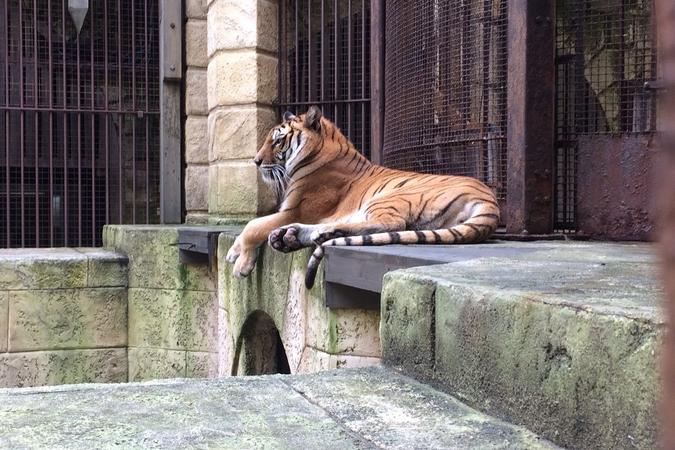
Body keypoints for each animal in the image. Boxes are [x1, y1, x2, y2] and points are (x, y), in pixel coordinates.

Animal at [227, 106, 502, 288]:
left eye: (278, 141)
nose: (256, 161)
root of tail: (490, 201)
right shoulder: (294, 212)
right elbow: (255, 224)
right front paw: (236, 252)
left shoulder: (297, 209)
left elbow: (254, 225)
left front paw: (238, 263)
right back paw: (292, 236)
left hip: (389, 197)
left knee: (392, 224)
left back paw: (305, 234)